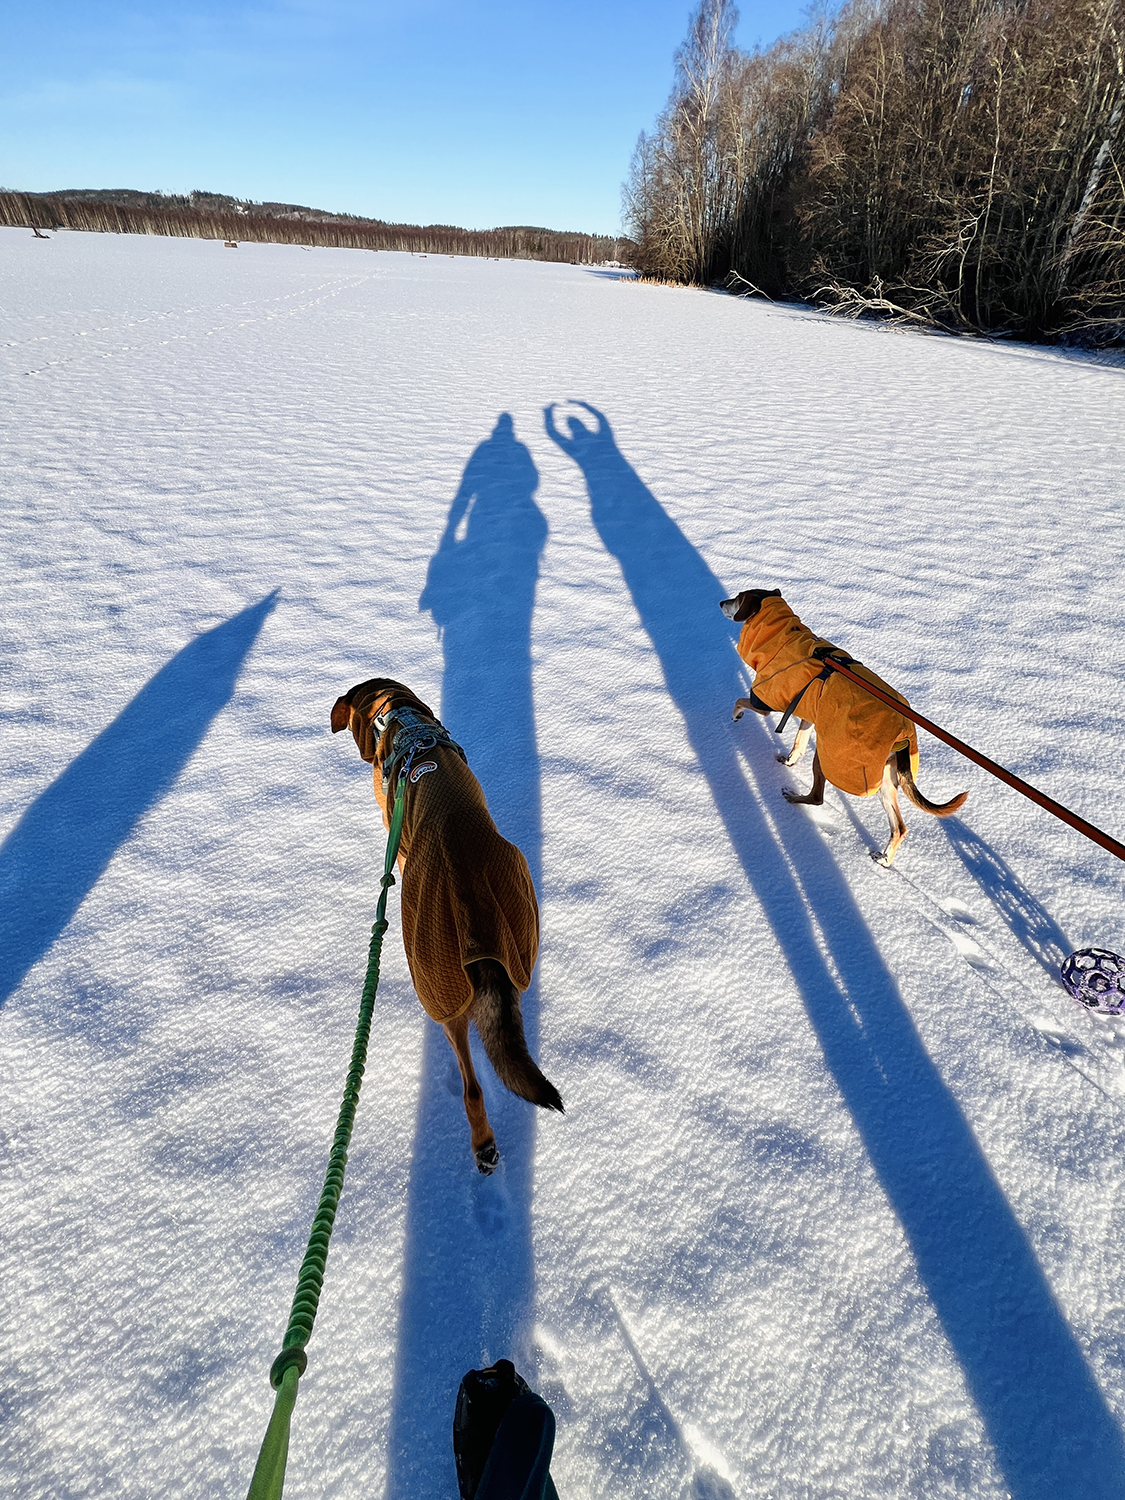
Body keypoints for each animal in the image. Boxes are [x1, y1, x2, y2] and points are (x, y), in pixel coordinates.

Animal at [333, 675, 564, 1176]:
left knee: (471, 1085)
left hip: (440, 986)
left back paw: (483, 1145)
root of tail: (475, 911)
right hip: (518, 934)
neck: (398, 715)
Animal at [723, 588, 972, 864]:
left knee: (818, 797)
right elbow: (798, 743)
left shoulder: (766, 701)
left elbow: (740, 701)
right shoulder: (809, 715)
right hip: (886, 781)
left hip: (828, 757)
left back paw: (793, 798)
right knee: (900, 827)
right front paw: (788, 761)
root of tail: (904, 736)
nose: (721, 602)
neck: (787, 635)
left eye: (737, 598)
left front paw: (735, 715)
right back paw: (885, 859)